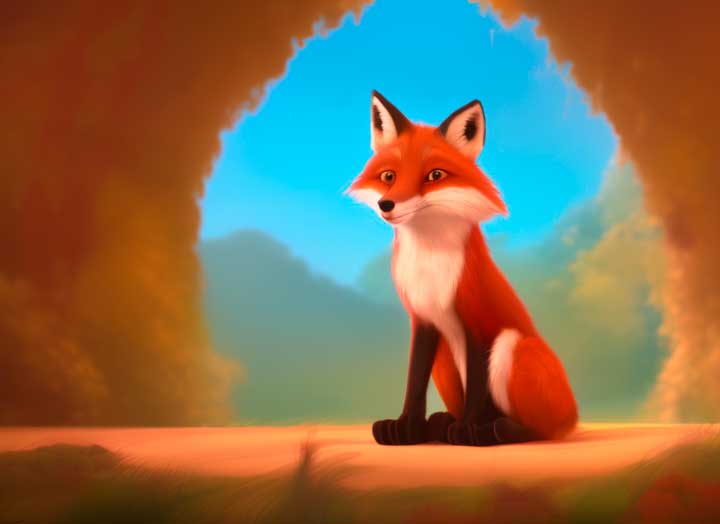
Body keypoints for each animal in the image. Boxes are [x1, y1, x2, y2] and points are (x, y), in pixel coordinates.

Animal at [347, 91, 578, 446]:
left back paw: (491, 429)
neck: (430, 261)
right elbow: (414, 382)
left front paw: (468, 429)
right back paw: (441, 422)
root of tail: (573, 415)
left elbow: (477, 388)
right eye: (388, 176)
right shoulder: (423, 319)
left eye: (435, 176)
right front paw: (407, 427)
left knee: (540, 431)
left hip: (512, 345)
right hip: (445, 357)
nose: (387, 205)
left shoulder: (475, 319)